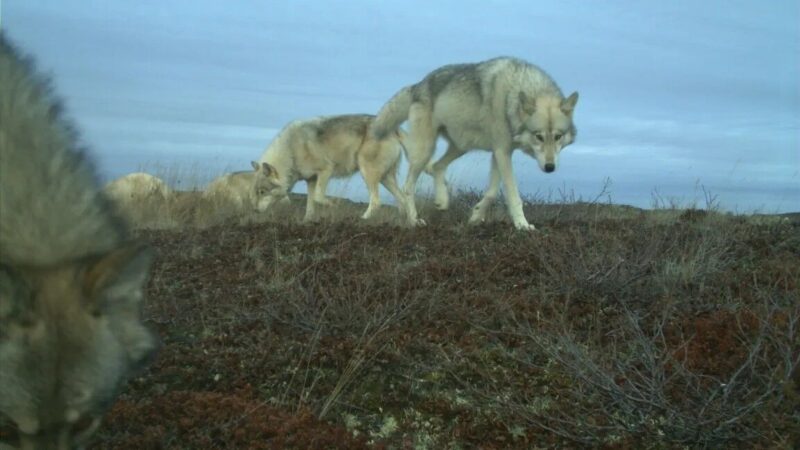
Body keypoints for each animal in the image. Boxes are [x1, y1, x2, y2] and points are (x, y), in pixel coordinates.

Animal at [252, 114, 412, 223]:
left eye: (262, 192)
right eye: (257, 192)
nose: (255, 210)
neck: (291, 150)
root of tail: (395, 129)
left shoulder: (325, 170)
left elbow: (318, 197)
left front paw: (333, 205)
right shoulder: (311, 180)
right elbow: (310, 205)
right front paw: (306, 221)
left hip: (367, 173)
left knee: (377, 202)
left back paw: (362, 219)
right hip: (385, 179)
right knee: (403, 199)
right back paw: (409, 223)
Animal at [371, 56, 579, 230]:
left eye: (558, 136)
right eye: (539, 136)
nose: (550, 167)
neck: (513, 93)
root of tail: (417, 85)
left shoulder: (499, 153)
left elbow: (492, 192)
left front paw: (476, 216)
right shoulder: (502, 152)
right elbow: (513, 195)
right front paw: (522, 225)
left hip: (461, 146)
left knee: (437, 166)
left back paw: (442, 201)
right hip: (426, 150)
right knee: (408, 187)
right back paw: (414, 220)